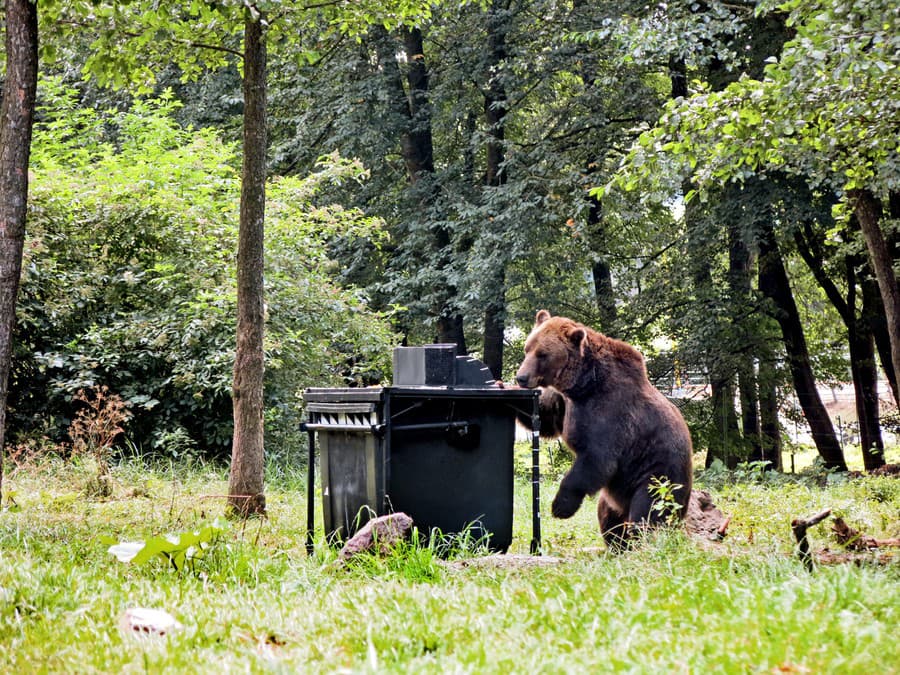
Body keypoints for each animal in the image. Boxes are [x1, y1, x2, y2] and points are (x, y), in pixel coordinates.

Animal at [512, 312, 696, 548]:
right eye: (528, 348)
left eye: (542, 354)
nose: (521, 377)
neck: (583, 385)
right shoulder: (565, 403)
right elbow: (548, 420)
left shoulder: (611, 414)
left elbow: (597, 460)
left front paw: (560, 506)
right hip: (616, 495)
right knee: (609, 518)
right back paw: (617, 546)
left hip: (659, 476)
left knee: (648, 516)